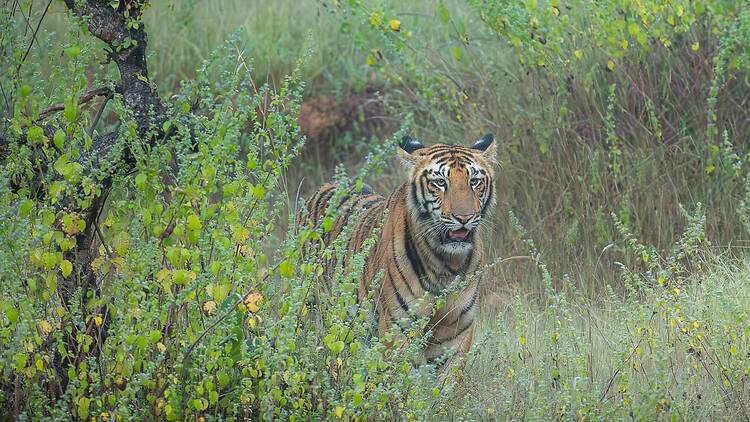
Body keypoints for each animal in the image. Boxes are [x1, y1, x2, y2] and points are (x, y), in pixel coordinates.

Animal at [298, 134, 497, 365]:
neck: (446, 264)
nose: (464, 218)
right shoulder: (398, 330)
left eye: (474, 181)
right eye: (440, 182)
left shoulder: (456, 334)